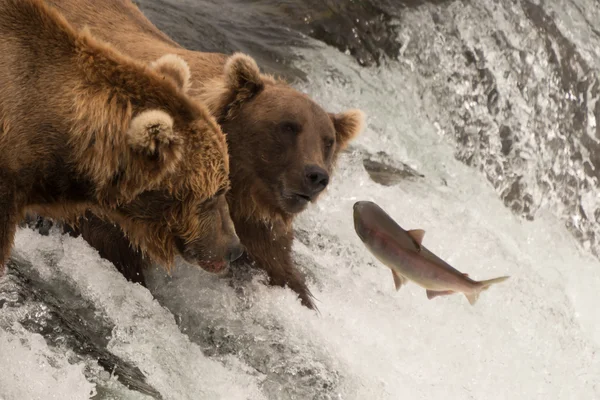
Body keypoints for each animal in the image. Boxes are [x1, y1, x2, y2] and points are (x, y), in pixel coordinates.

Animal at [43, 0, 366, 310]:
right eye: (288, 126)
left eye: (327, 141)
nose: (316, 176)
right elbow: (111, 243)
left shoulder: (253, 225)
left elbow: (281, 271)